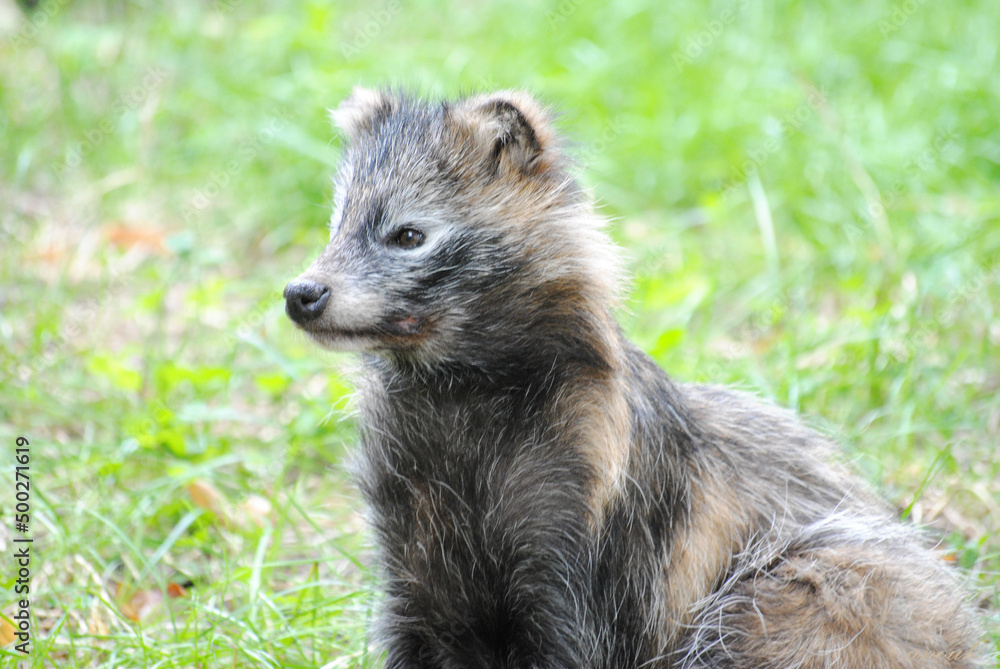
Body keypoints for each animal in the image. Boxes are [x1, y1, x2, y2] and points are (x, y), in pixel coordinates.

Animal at [283, 88, 985, 668]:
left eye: (408, 234)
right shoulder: (411, 536)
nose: (302, 293)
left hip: (828, 588)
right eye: (336, 224)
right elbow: (414, 630)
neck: (459, 386)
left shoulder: (592, 531)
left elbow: (578, 642)